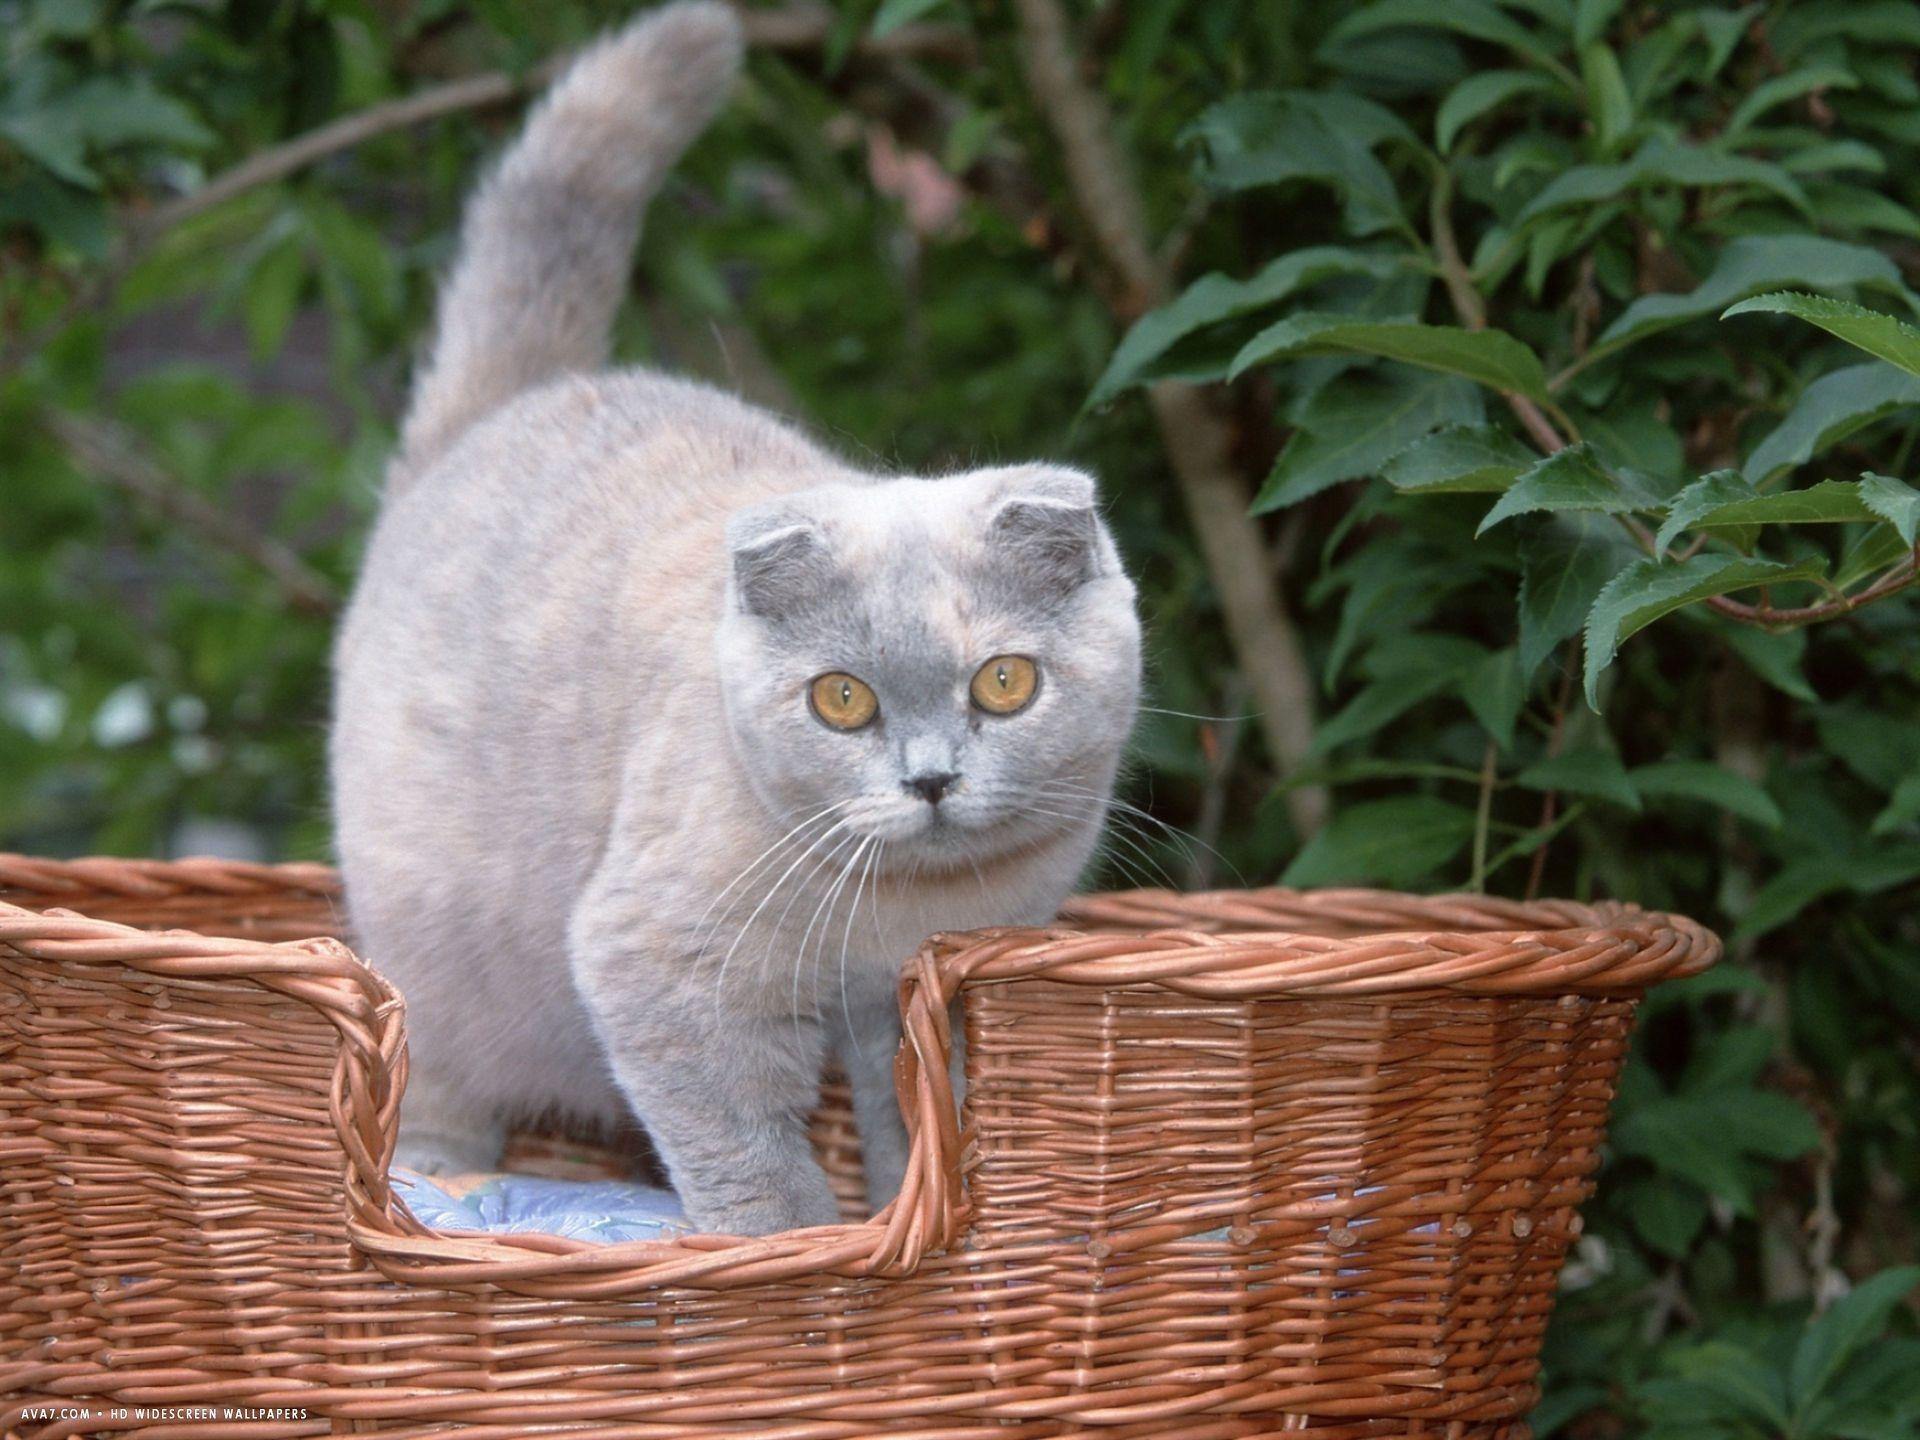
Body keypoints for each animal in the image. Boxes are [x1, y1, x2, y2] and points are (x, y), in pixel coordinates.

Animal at [328, 2, 1136, 1244]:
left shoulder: (916, 999)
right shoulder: (659, 964)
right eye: (841, 699)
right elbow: (750, 1156)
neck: (902, 910)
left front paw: (913, 1209)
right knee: (440, 1073)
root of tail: (499, 414)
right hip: (430, 939)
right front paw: (794, 1250)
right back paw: (435, 1184)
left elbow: (914, 1121)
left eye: (1004, 684)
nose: (931, 779)